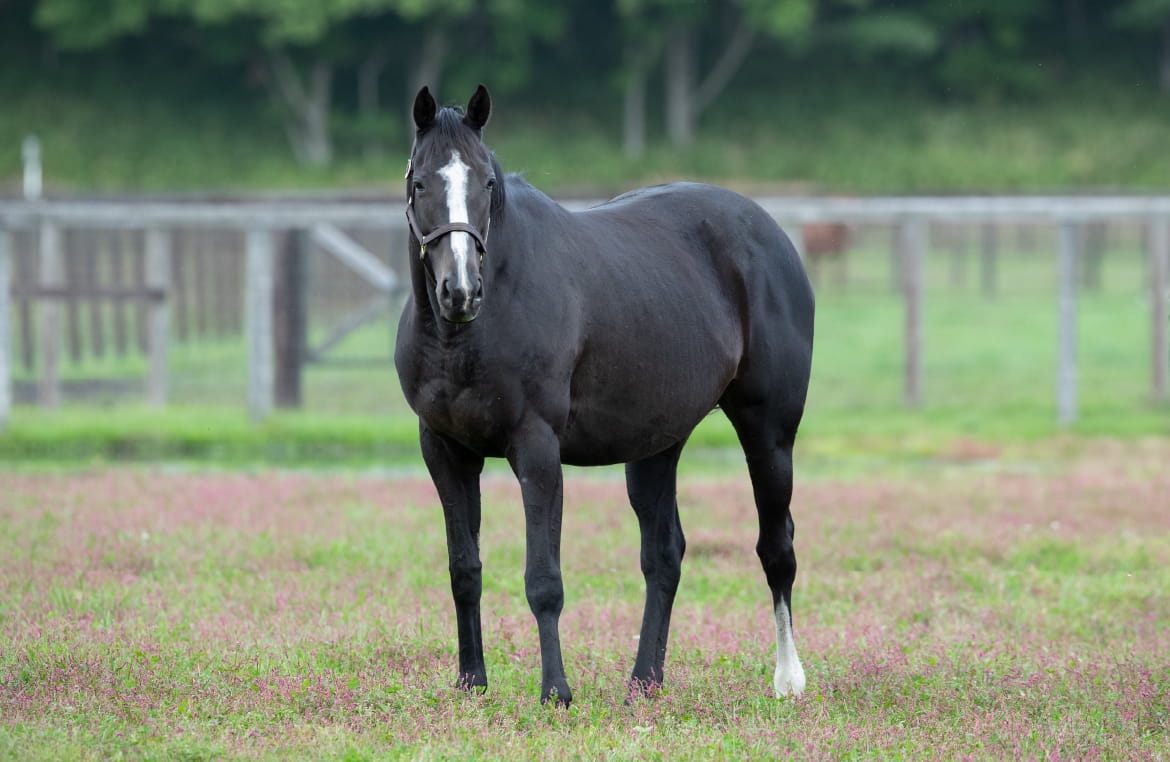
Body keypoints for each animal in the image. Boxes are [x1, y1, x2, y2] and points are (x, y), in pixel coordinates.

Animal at [393, 84, 814, 711]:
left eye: (486, 183)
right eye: (420, 182)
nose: (461, 290)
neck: (467, 333)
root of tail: (769, 232)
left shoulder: (537, 450)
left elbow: (544, 581)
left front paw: (555, 692)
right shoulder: (444, 450)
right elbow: (463, 569)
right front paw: (472, 683)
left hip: (769, 434)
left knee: (776, 548)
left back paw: (788, 678)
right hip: (657, 446)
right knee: (664, 556)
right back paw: (645, 680)